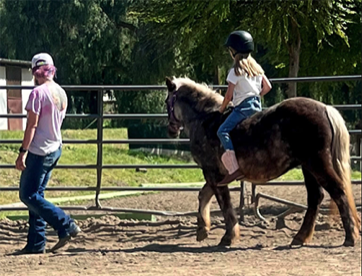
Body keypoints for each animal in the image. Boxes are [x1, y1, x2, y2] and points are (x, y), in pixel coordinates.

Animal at [165, 76, 360, 247]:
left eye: (167, 102)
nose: (171, 130)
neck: (205, 119)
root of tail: (325, 109)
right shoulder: (216, 175)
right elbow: (204, 195)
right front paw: (202, 229)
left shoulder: (212, 172)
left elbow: (224, 203)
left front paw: (228, 237)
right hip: (308, 167)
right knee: (315, 198)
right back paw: (300, 237)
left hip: (317, 164)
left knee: (338, 191)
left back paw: (350, 237)